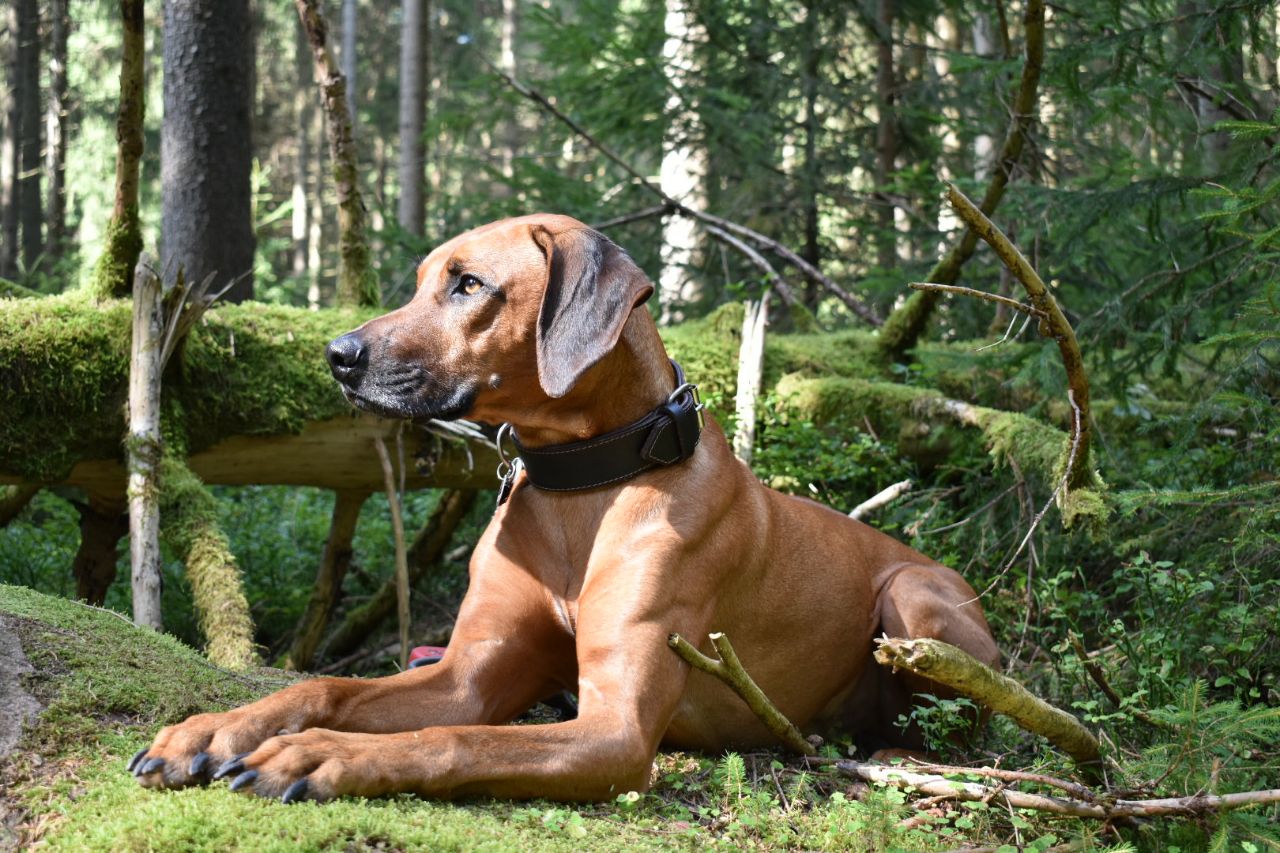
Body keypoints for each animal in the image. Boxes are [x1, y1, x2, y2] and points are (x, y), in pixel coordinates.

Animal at [129, 211, 993, 799]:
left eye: (469, 284)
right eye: (422, 280)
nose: (337, 355)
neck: (581, 484)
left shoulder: (614, 729)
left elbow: (460, 738)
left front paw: (321, 752)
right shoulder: (466, 673)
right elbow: (328, 688)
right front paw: (219, 726)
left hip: (916, 596)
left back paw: (904, 753)